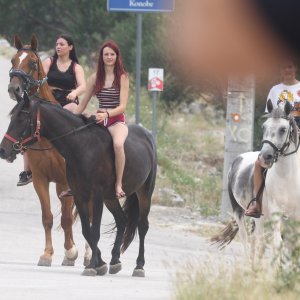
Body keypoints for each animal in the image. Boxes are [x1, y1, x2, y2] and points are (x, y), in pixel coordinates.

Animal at [6, 35, 83, 268]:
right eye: (13, 60)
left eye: (32, 63)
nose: (14, 89)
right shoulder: (41, 180)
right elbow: (47, 217)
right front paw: (47, 254)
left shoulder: (66, 181)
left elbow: (66, 218)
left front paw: (70, 252)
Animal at [211, 99, 300, 266]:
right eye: (264, 126)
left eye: (283, 129)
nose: (265, 156)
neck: (288, 177)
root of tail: (238, 158)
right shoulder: (276, 211)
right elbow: (277, 244)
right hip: (242, 211)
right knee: (248, 238)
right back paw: (250, 266)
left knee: (257, 240)